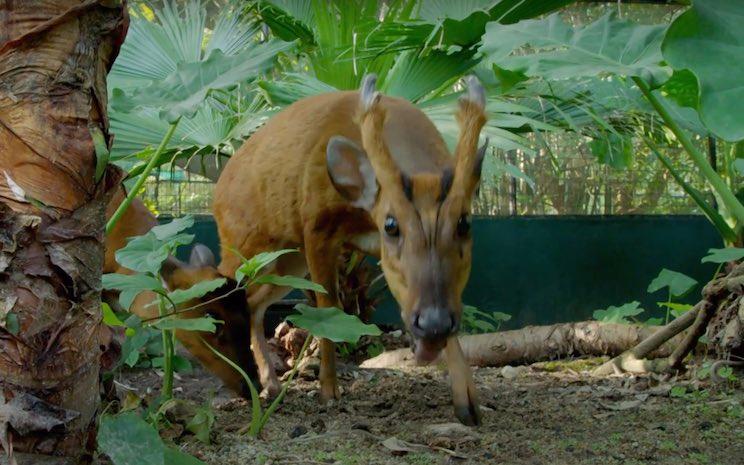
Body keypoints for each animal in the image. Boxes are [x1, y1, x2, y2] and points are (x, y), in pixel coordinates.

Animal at [214, 73, 488, 424]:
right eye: (391, 225)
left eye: (464, 223)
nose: (433, 325)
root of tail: (218, 190)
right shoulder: (316, 226)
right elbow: (328, 306)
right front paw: (328, 391)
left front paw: (468, 403)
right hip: (240, 246)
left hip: (286, 262)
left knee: (253, 303)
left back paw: (269, 384)